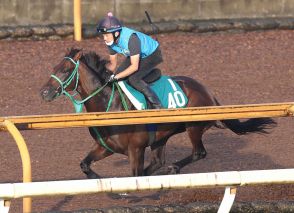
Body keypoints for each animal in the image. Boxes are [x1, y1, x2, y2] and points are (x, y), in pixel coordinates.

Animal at [39, 47, 276, 178]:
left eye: (66, 70)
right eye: (54, 67)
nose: (44, 92)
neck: (110, 103)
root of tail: (208, 92)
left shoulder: (135, 149)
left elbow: (134, 175)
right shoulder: (106, 146)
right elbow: (85, 164)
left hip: (193, 127)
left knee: (198, 152)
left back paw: (173, 168)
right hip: (162, 136)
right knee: (159, 161)